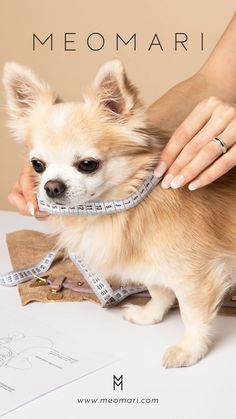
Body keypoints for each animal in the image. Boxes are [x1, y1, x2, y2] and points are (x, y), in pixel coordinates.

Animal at [3, 60, 236, 370]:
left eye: (88, 164)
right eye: (37, 165)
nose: (51, 187)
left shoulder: (194, 276)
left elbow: (192, 315)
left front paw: (189, 349)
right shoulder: (149, 260)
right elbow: (158, 290)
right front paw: (150, 315)